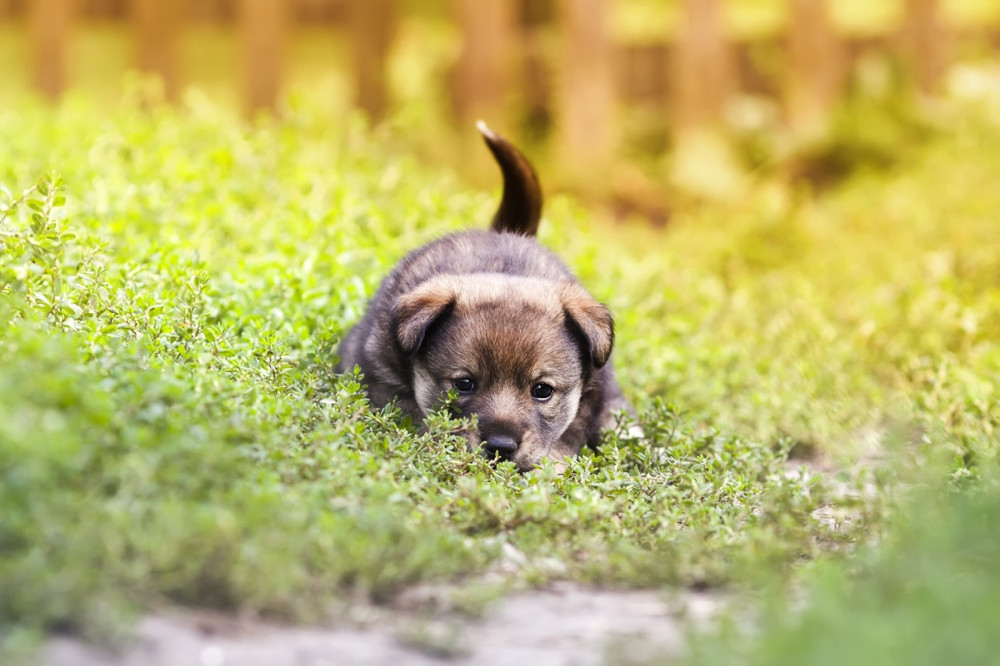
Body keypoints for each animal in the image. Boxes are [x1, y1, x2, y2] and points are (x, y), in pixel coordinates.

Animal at [336, 120, 632, 472]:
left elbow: (566, 436)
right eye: (464, 383)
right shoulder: (384, 382)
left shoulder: (590, 397)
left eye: (542, 390)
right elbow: (418, 417)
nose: (501, 446)